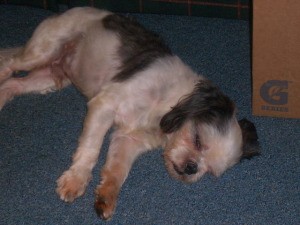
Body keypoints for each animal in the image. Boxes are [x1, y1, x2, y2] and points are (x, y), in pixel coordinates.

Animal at [0, 7, 258, 220]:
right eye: (197, 140)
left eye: (209, 171)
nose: (191, 168)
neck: (162, 104)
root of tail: (66, 11)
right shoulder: (104, 105)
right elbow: (90, 150)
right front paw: (76, 180)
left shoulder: (128, 139)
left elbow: (117, 170)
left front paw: (106, 197)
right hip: (41, 52)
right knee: (9, 64)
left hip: (51, 76)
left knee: (13, 84)